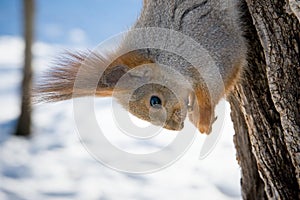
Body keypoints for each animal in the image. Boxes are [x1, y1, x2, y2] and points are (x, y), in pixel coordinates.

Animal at [34, 0, 246, 134]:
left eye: (155, 100)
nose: (176, 128)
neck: (164, 55)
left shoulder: (214, 45)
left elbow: (219, 82)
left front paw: (202, 122)